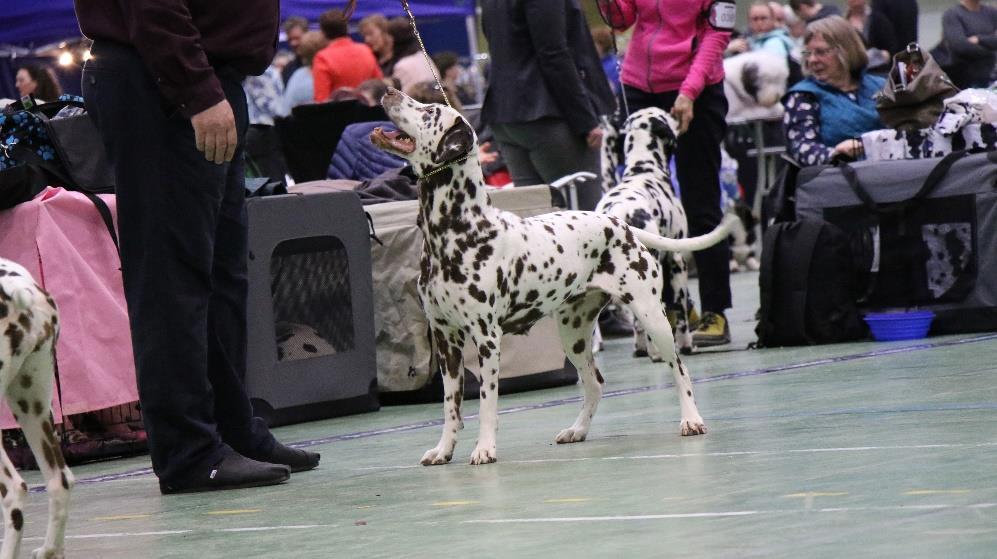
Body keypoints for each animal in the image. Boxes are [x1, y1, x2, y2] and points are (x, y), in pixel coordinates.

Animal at [370, 89, 736, 466]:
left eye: (429, 111)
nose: (389, 92)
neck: (458, 230)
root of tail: (621, 223)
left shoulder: (486, 338)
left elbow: (486, 403)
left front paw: (485, 448)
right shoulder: (446, 340)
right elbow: (450, 406)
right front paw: (444, 450)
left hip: (653, 318)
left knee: (680, 369)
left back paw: (691, 420)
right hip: (573, 336)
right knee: (595, 383)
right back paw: (577, 430)